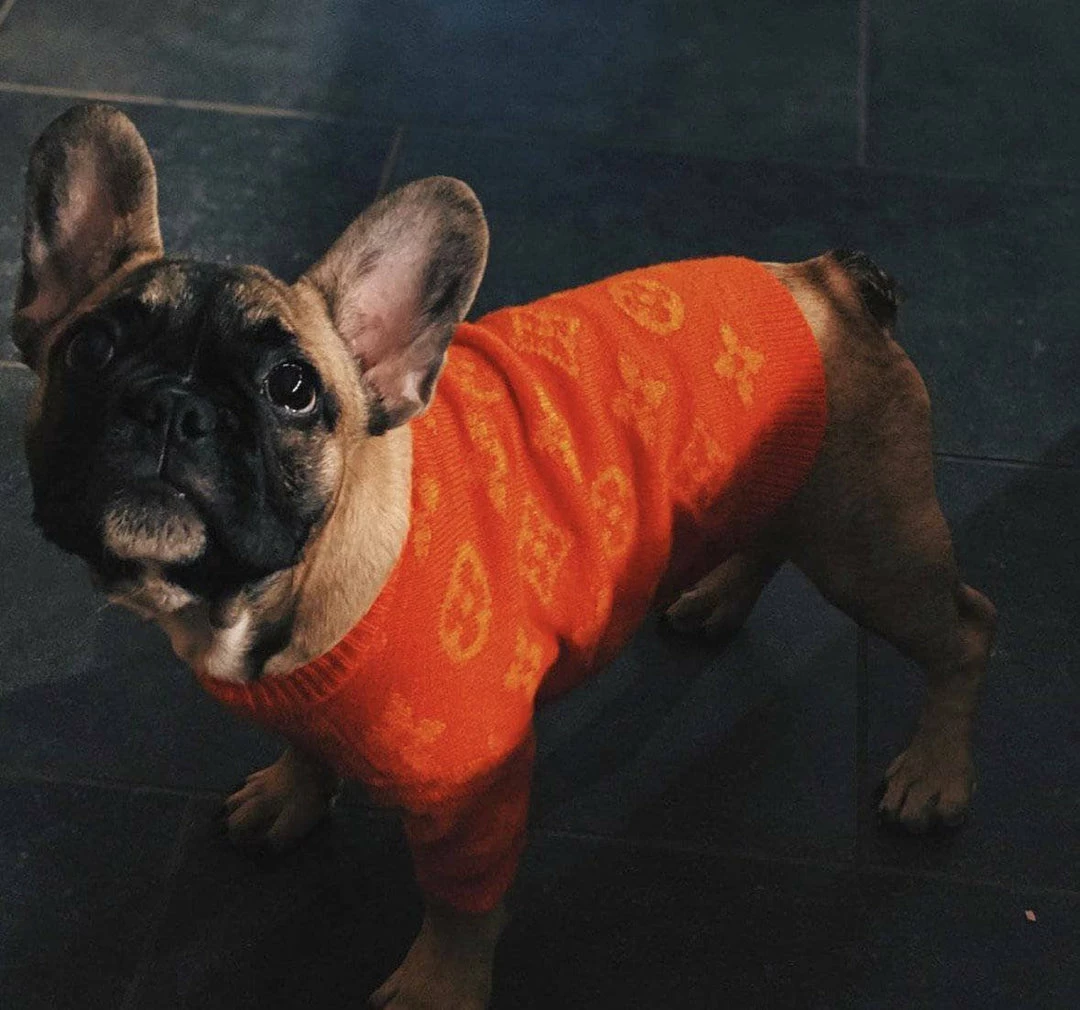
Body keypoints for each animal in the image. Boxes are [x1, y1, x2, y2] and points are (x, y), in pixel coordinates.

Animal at [14, 104, 996, 1009]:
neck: (290, 592)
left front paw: (437, 986)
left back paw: (934, 774)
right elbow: (308, 747)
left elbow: (463, 907)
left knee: (966, 631)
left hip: (870, 547)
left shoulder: (471, 794)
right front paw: (291, 795)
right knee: (771, 539)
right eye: (92, 348)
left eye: (292, 388)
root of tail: (830, 283)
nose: (172, 407)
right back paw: (718, 598)